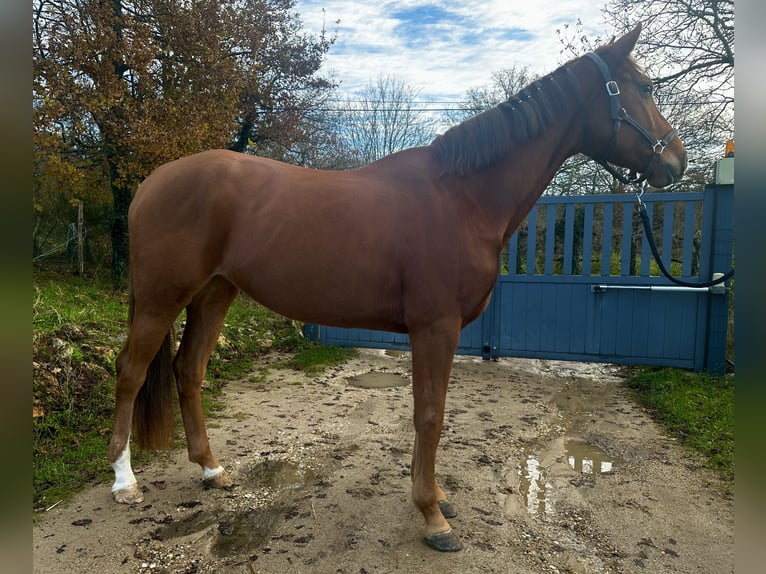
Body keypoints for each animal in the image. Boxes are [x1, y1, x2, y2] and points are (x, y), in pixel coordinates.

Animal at [109, 25, 688, 552]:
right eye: (644, 87)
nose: (676, 161)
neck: (462, 197)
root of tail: (153, 180)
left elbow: (429, 412)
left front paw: (435, 497)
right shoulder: (436, 327)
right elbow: (429, 415)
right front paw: (433, 517)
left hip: (215, 293)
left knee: (188, 370)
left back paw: (212, 470)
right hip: (162, 297)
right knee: (132, 371)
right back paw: (124, 481)